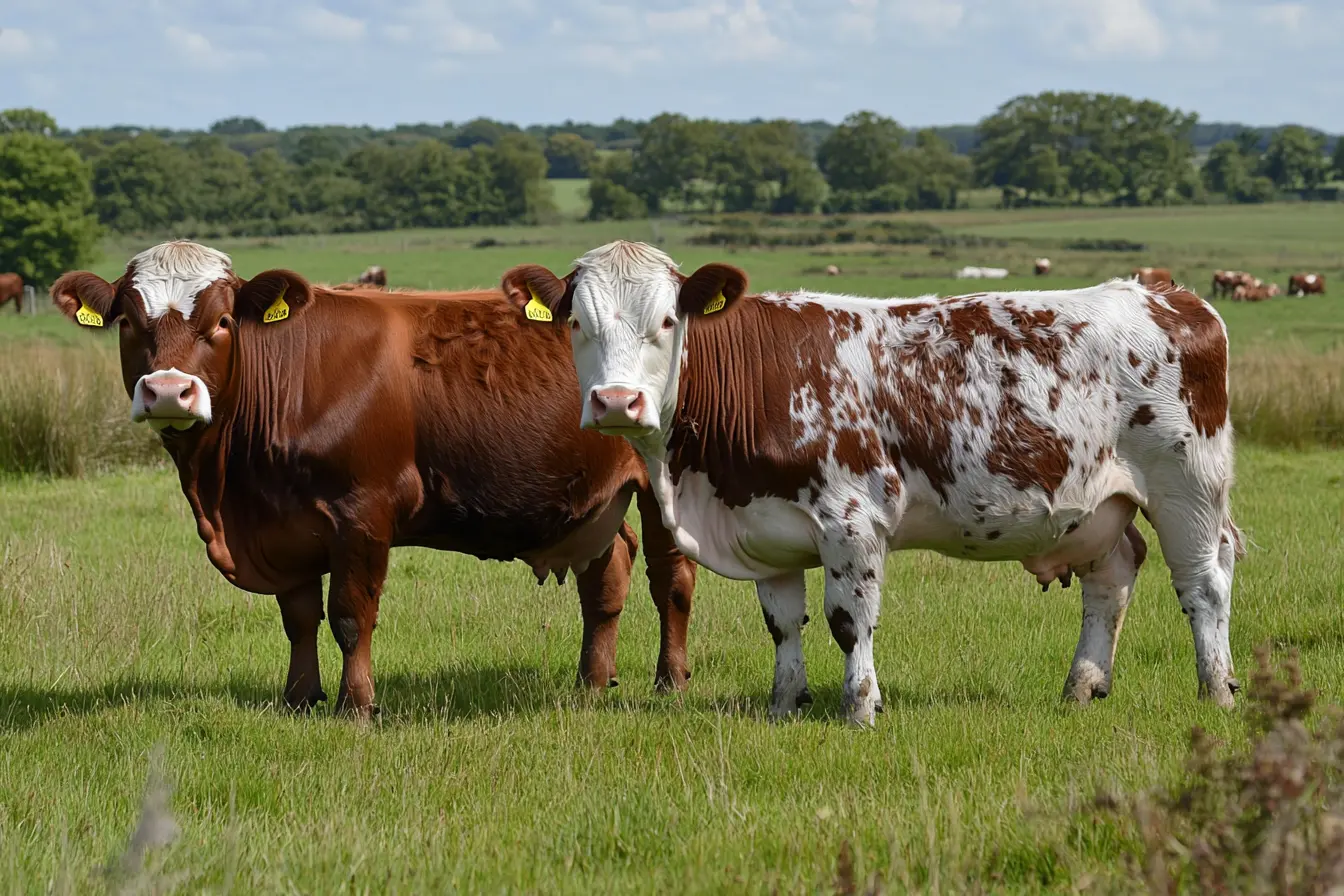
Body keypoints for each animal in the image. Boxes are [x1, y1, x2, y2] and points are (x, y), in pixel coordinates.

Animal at [49, 241, 704, 720]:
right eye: (128, 323)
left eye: (222, 321)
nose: (167, 392)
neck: (232, 493)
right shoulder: (285, 523)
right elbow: (299, 616)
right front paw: (299, 698)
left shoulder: (361, 513)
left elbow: (348, 613)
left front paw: (356, 705)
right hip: (594, 503)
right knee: (607, 579)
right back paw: (592, 681)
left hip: (663, 486)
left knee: (670, 580)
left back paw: (670, 682)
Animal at [505, 243, 1247, 730]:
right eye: (577, 323)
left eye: (666, 321)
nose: (615, 402)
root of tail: (1167, 294)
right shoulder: (763, 524)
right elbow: (783, 624)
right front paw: (784, 705)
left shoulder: (853, 518)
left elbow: (848, 620)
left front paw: (860, 708)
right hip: (1097, 504)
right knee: (1112, 577)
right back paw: (1083, 685)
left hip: (1189, 485)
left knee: (1204, 584)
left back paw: (1217, 691)